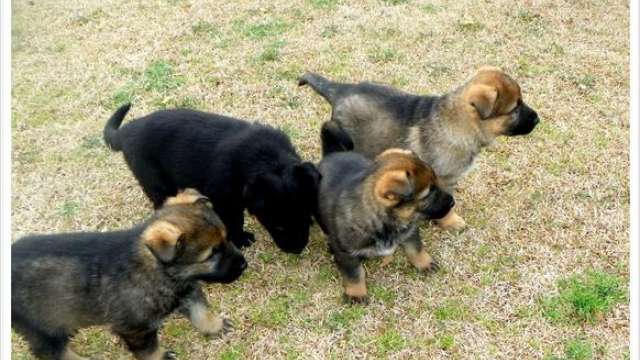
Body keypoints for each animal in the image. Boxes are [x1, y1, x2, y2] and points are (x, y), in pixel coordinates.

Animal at [13, 188, 248, 360]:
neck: (159, 269)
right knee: (51, 350)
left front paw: (215, 326)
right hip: (39, 326)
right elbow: (149, 351)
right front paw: (161, 357)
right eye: (212, 254)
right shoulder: (135, 329)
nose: (244, 265)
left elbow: (201, 311)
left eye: (226, 239)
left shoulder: (187, 291)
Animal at [106, 104, 324, 255]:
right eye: (278, 225)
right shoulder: (225, 201)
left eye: (305, 218)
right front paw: (241, 239)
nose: (297, 250)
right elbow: (234, 221)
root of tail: (125, 131)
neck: (268, 159)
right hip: (156, 182)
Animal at [300, 67, 540, 231]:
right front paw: (450, 221)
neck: (461, 123)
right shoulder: (443, 177)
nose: (538, 119)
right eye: (515, 108)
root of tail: (338, 89)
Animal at [318, 144, 452, 304]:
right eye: (429, 194)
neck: (384, 221)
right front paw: (356, 294)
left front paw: (425, 263)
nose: (452, 202)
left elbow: (416, 248)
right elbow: (354, 274)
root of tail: (333, 153)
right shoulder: (347, 253)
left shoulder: (409, 231)